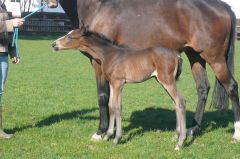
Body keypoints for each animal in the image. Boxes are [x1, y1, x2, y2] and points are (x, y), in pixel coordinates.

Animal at [52, 29, 187, 150]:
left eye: (70, 37)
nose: (53, 44)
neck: (109, 55)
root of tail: (177, 54)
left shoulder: (118, 83)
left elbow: (117, 107)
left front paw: (117, 138)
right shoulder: (112, 83)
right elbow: (111, 106)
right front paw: (108, 135)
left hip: (167, 81)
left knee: (180, 101)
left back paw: (180, 143)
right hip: (162, 81)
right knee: (175, 102)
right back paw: (175, 136)